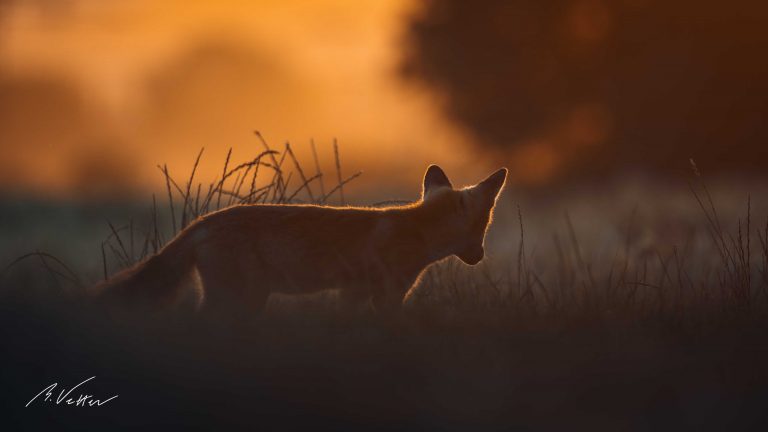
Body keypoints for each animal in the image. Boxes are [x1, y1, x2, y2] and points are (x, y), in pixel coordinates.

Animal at [99, 165, 510, 314]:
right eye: (483, 226)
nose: (480, 256)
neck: (415, 230)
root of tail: (202, 222)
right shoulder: (387, 294)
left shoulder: (353, 292)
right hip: (239, 299)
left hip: (246, 299)